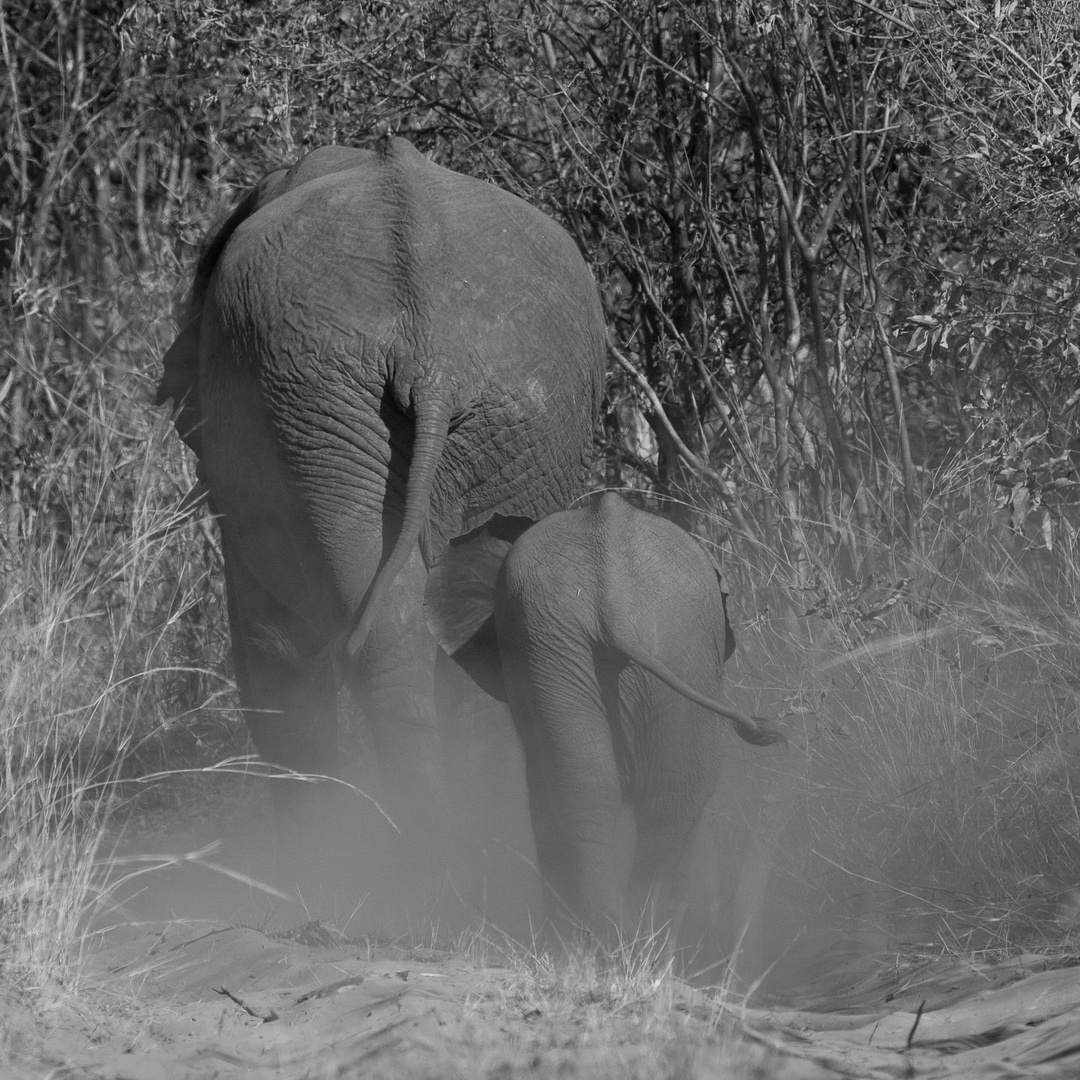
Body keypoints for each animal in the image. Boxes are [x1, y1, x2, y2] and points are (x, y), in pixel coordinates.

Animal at [156, 132, 609, 851]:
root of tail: (433, 356)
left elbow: (269, 650)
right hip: (511, 423)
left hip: (321, 407)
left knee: (384, 634)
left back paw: (420, 849)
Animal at [423, 494, 786, 941]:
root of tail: (611, 593)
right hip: (619, 644)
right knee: (651, 796)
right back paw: (629, 935)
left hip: (623, 644)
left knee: (612, 792)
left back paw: (613, 934)